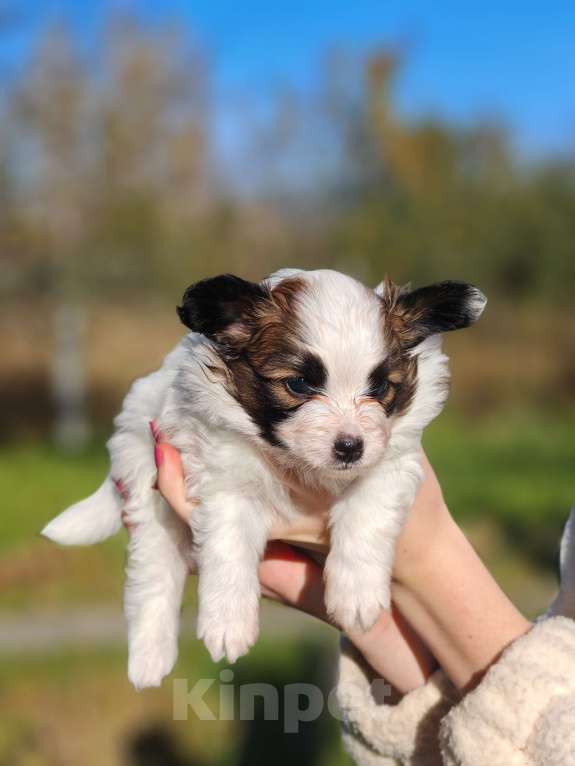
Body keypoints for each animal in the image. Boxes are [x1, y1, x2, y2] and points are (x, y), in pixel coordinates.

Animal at [42, 268, 488, 688]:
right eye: (299, 384)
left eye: (380, 387)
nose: (350, 448)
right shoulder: (226, 479)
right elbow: (229, 549)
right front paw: (227, 623)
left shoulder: (391, 458)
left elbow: (367, 512)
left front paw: (356, 594)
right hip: (148, 491)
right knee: (152, 577)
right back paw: (149, 658)